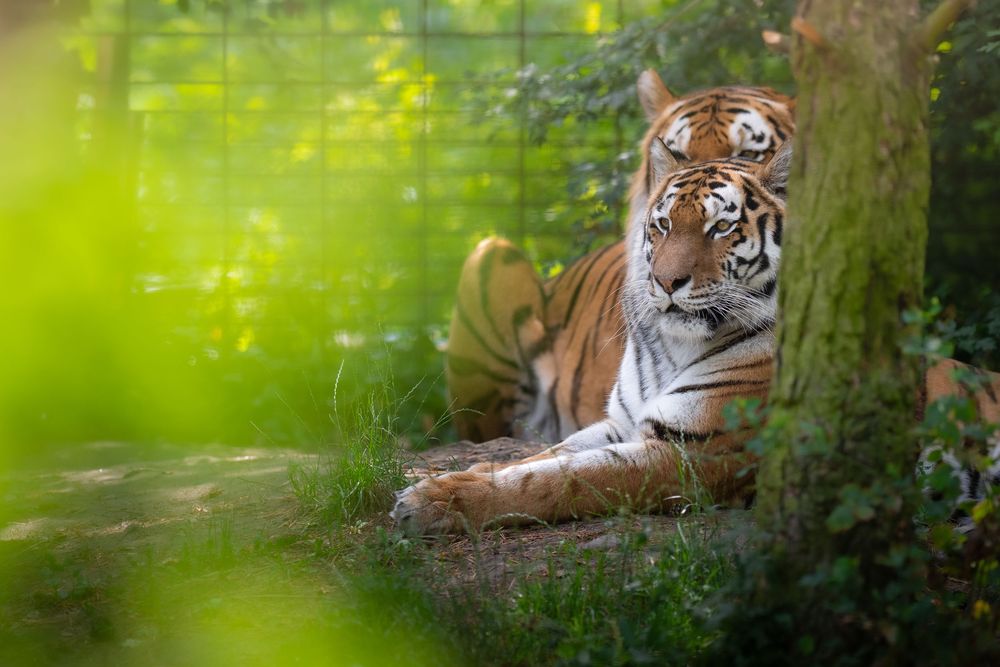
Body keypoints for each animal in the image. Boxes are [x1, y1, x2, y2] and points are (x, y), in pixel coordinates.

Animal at [394, 141, 1000, 534]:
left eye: (721, 228)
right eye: (662, 225)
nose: (666, 282)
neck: (670, 348)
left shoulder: (700, 450)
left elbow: (562, 480)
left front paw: (435, 502)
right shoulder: (621, 423)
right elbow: (544, 457)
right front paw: (454, 475)